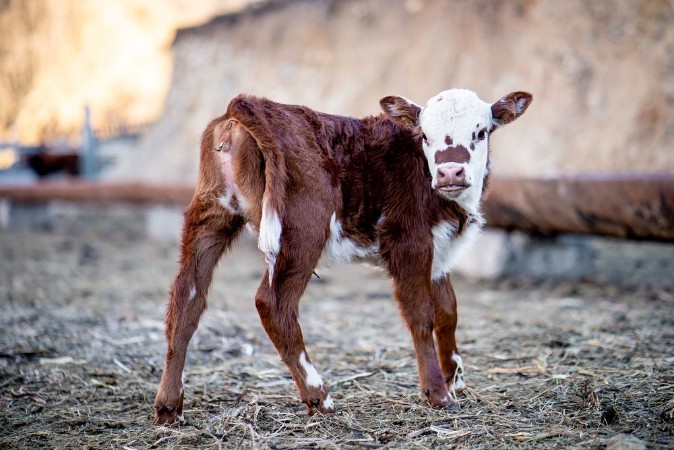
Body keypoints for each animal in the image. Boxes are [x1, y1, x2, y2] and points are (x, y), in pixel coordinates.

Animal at [153, 88, 532, 424]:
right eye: (425, 134)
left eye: (480, 132)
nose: (450, 172)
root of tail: (251, 105)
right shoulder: (410, 242)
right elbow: (421, 315)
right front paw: (438, 393)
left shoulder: (439, 250)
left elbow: (448, 312)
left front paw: (456, 380)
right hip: (302, 229)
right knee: (272, 304)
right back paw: (320, 398)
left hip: (211, 213)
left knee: (186, 298)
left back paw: (169, 408)